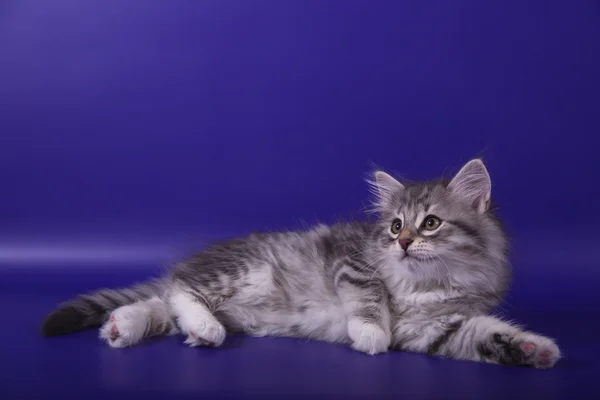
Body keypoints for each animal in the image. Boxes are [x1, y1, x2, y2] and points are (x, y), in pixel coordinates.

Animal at [43, 159, 564, 368]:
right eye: (396, 226)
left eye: (431, 223)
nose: (403, 242)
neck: (424, 285)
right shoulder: (352, 262)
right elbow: (369, 299)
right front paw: (370, 333)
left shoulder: (437, 329)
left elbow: (486, 335)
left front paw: (534, 350)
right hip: (247, 270)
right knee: (180, 289)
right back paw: (204, 327)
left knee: (160, 303)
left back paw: (123, 327)